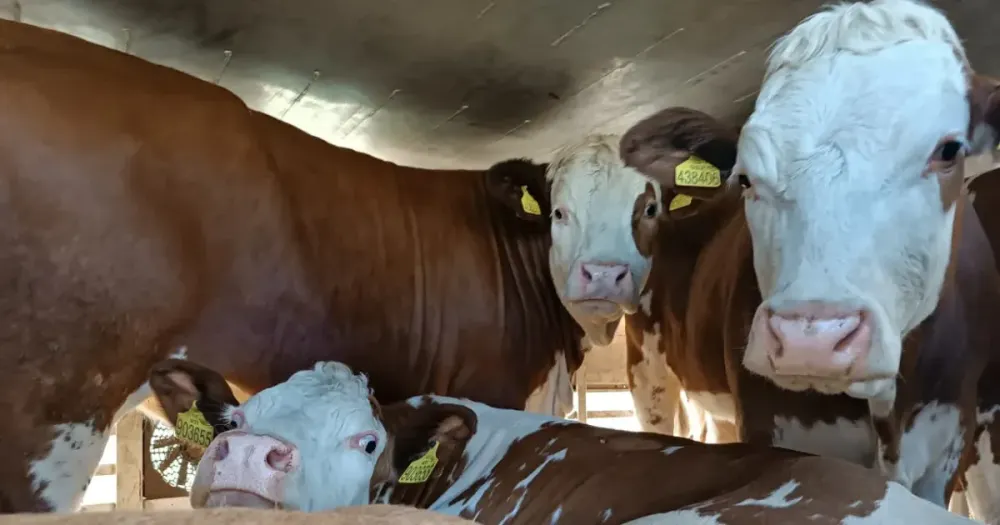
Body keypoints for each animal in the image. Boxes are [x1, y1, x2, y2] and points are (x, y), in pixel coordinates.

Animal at [544, 0, 1000, 519]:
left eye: (949, 151)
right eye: (745, 176)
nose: (811, 339)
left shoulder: (947, 444)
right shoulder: (768, 424)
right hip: (649, 370)